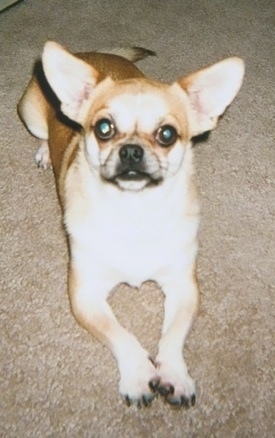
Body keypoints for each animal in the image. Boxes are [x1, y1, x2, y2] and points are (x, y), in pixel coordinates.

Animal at [17, 41, 246, 408]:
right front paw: (139, 376)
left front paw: (174, 375)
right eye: (104, 128)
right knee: (41, 136)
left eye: (167, 134)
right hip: (30, 115)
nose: (132, 152)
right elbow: (121, 335)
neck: (134, 212)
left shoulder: (184, 288)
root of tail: (92, 53)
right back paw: (44, 153)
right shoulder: (85, 295)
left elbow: (172, 336)